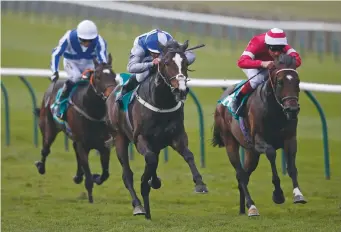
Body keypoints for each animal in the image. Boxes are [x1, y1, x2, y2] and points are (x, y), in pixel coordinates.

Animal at [34, 54, 117, 203]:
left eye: (113, 75)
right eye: (98, 77)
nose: (111, 93)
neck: (92, 111)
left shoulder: (104, 145)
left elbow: (105, 174)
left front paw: (95, 178)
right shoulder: (83, 144)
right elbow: (88, 176)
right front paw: (90, 199)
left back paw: (78, 176)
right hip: (48, 128)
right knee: (45, 150)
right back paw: (41, 167)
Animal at [105, 40, 207, 219]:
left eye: (186, 63)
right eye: (166, 63)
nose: (181, 90)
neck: (161, 102)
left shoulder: (177, 135)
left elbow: (188, 155)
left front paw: (200, 183)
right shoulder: (140, 139)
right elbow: (150, 161)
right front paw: (145, 184)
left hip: (156, 143)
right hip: (119, 138)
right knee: (127, 174)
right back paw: (138, 205)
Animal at [211, 54, 306, 216]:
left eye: (297, 81)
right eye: (280, 82)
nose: (292, 109)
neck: (275, 111)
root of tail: (221, 100)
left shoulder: (290, 139)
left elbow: (292, 167)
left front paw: (298, 195)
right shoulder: (258, 140)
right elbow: (271, 153)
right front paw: (278, 194)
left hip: (251, 152)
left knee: (245, 175)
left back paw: (243, 209)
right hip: (231, 143)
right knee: (241, 175)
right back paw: (252, 206)